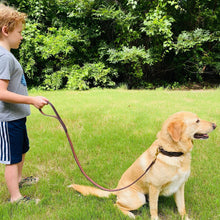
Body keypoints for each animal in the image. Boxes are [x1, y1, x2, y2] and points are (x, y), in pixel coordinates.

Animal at [69, 112, 217, 219]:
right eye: (197, 121)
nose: (215, 124)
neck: (173, 153)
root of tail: (116, 190)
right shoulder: (154, 188)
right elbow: (154, 209)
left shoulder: (180, 186)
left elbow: (182, 208)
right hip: (139, 199)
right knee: (116, 204)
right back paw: (129, 214)